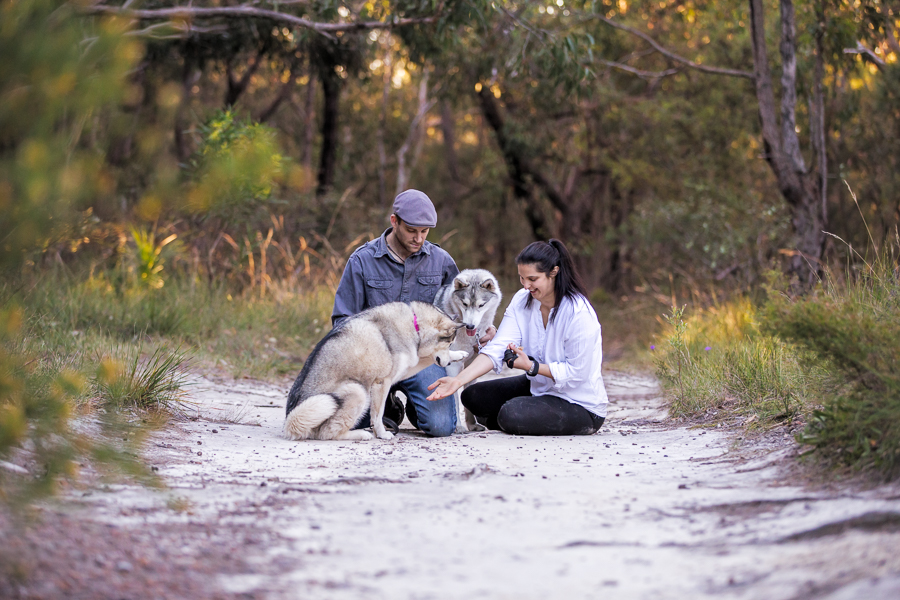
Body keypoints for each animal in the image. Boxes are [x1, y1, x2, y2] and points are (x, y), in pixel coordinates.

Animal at [284, 304, 468, 440]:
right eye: (448, 343)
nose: (448, 363)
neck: (415, 325)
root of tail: (291, 423)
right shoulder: (382, 382)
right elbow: (378, 415)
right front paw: (382, 434)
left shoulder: (407, 365)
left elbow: (424, 359)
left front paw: (460, 354)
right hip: (358, 391)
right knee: (327, 433)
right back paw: (360, 434)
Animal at [432, 270, 502, 434]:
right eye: (464, 304)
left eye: (481, 305)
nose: (470, 326)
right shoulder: (452, 366)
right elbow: (455, 397)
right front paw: (458, 427)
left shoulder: (472, 363)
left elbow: (466, 394)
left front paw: (472, 424)